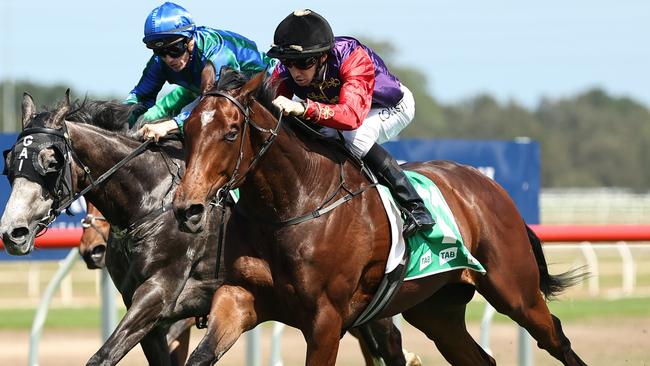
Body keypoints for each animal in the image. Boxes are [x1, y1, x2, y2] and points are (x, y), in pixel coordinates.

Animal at [0, 91, 412, 366]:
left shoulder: (160, 296)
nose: (12, 232)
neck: (152, 202)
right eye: (9, 165)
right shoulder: (152, 310)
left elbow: (102, 356)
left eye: (51, 162)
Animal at [173, 69, 588, 366]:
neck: (292, 206)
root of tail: (490, 187)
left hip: (515, 291)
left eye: (231, 133)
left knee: (557, 339)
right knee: (480, 359)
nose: (187, 208)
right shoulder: (239, 296)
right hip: (437, 310)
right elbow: (201, 355)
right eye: (187, 129)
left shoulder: (326, 320)